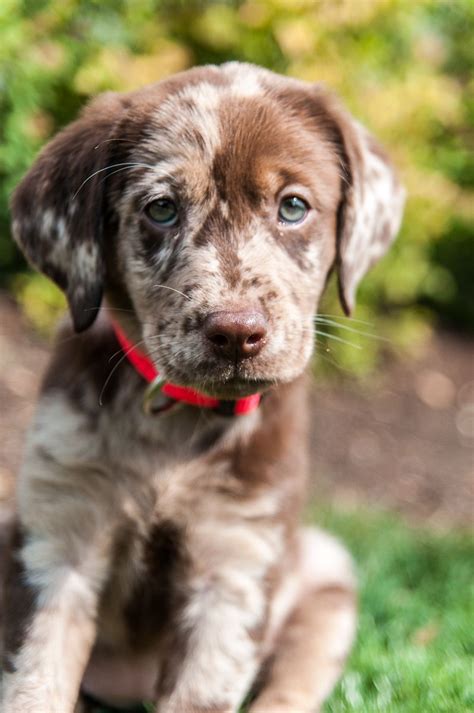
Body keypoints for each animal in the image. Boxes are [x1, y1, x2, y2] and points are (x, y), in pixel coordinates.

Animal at [1, 62, 406, 712]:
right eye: (162, 210)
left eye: (294, 207)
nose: (236, 332)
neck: (175, 424)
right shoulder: (56, 536)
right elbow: (34, 685)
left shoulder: (235, 564)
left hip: (328, 572)